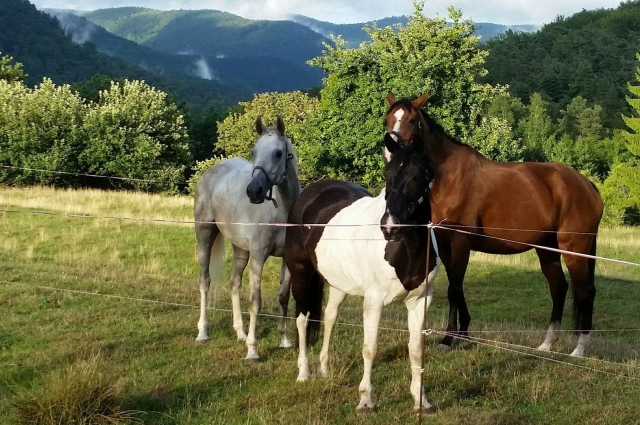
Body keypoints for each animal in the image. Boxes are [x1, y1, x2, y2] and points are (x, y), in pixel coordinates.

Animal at [194, 116, 301, 361]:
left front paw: (284, 340)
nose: (254, 191)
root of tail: (211, 172)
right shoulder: (258, 257)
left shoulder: (286, 257)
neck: (281, 211)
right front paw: (252, 350)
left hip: (240, 248)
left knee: (234, 283)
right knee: (205, 281)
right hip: (204, 233)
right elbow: (255, 302)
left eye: (278, 153)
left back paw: (240, 332)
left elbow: (283, 297)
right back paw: (203, 332)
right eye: (254, 152)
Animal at [285, 137, 440, 413]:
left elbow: (416, 349)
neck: (407, 249)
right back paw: (304, 373)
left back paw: (324, 369)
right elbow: (370, 348)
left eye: (417, 175)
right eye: (388, 175)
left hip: (338, 283)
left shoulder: (420, 301)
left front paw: (421, 400)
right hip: (300, 274)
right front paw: (366, 400)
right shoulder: (374, 300)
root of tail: (309, 195)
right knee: (302, 320)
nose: (389, 227)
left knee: (329, 317)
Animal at [383, 92, 604, 357]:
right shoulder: (445, 244)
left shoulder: (460, 242)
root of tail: (586, 184)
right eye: (388, 119)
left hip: (575, 249)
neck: (448, 177)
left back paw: (579, 349)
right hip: (547, 249)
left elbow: (454, 288)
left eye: (411, 120)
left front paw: (449, 338)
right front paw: (462, 333)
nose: (389, 150)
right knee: (559, 288)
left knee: (585, 291)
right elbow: (457, 286)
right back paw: (547, 344)